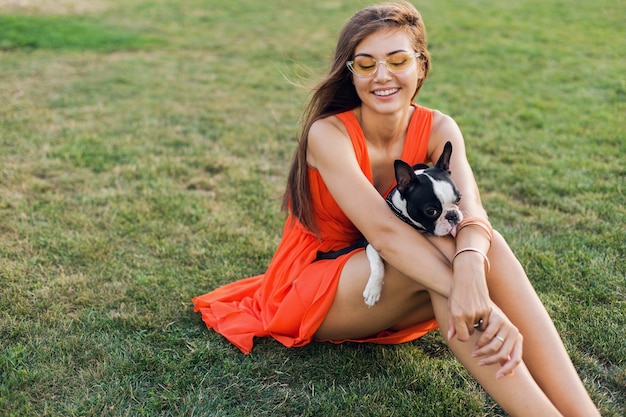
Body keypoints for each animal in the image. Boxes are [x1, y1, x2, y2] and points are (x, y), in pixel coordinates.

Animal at [358, 141, 460, 308]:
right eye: (431, 211)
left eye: (458, 199)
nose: (453, 216)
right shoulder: (370, 241)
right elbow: (378, 263)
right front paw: (373, 289)